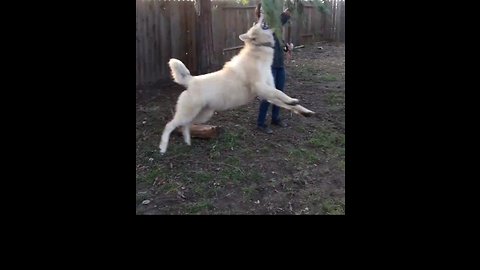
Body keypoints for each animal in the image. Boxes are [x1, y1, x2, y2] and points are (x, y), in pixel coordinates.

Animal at [159, 15, 314, 153]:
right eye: (258, 23)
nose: (261, 15)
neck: (258, 50)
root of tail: (191, 80)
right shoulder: (262, 88)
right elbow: (280, 93)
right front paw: (292, 100)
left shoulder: (268, 93)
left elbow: (287, 103)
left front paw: (305, 111)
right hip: (188, 113)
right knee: (169, 125)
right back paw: (163, 147)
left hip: (203, 114)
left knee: (186, 125)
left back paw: (187, 141)